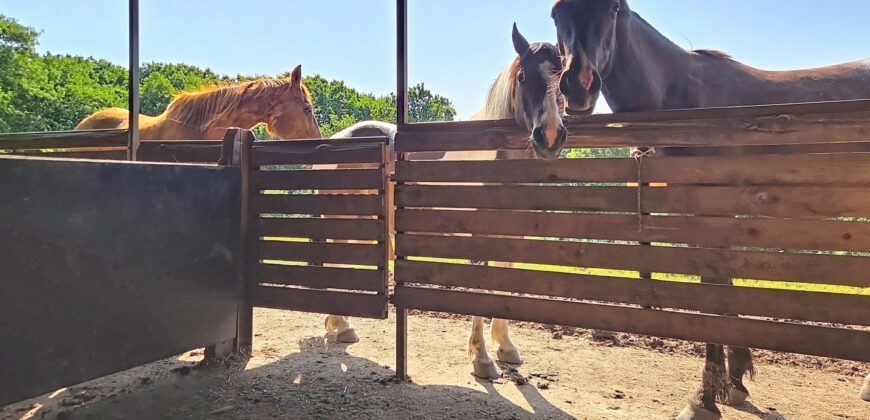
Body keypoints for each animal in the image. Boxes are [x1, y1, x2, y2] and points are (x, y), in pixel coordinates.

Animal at [321, 25, 566, 381]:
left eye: (562, 76)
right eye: (523, 77)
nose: (549, 136)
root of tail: (336, 141)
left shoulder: (509, 235)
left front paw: (506, 347)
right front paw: (482, 359)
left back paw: (341, 326)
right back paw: (341, 325)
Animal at [550, 1, 870, 418]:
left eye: (614, 9)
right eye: (556, 14)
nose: (579, 84)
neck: (681, 98)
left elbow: (713, 285)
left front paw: (705, 396)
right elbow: (721, 284)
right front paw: (735, 380)